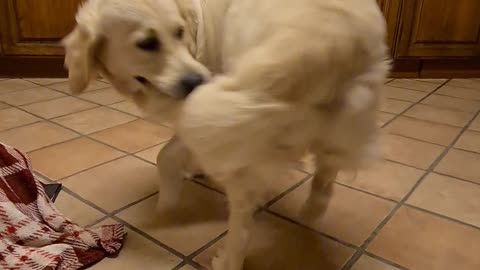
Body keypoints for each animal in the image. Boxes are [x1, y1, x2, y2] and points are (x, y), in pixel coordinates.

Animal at [62, 1, 390, 268]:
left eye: (178, 32)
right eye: (147, 43)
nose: (197, 82)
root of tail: (334, 45)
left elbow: (165, 156)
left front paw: (167, 203)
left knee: (243, 225)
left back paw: (228, 260)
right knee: (325, 179)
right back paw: (310, 211)